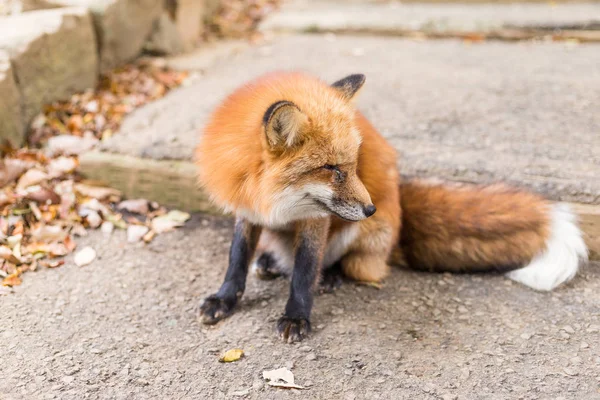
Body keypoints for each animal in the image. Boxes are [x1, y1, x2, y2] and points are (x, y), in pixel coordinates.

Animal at [196, 70, 584, 342]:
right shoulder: (247, 210)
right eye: (332, 169)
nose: (370, 209)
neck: (267, 193)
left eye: (354, 165)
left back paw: (330, 277)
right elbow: (236, 259)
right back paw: (269, 262)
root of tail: (399, 203)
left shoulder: (316, 219)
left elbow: (305, 270)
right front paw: (224, 299)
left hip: (361, 238)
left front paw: (296, 316)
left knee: (356, 267)